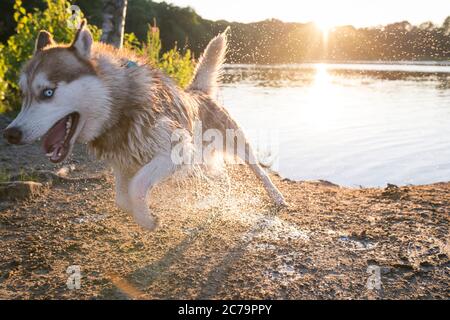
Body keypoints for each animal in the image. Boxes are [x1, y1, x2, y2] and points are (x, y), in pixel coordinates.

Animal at [2, 20, 284, 230]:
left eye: (48, 92)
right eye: (23, 93)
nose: (10, 134)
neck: (121, 112)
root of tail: (197, 92)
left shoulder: (172, 153)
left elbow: (137, 186)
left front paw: (147, 220)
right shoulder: (123, 162)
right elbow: (121, 198)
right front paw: (142, 214)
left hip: (236, 143)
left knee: (258, 170)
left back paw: (276, 196)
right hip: (201, 159)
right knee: (218, 175)